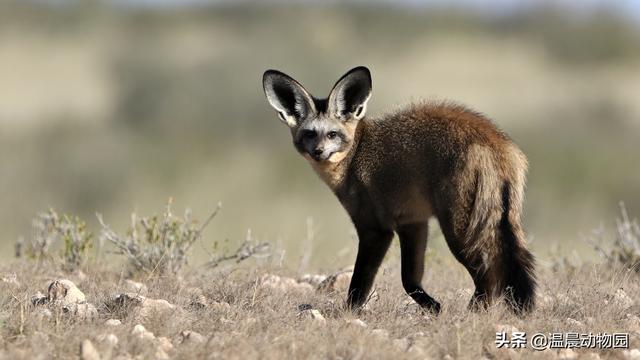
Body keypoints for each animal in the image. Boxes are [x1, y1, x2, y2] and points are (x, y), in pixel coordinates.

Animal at [260, 66, 536, 314]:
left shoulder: (376, 230)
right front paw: (434, 308)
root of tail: (494, 140)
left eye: (332, 134)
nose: (318, 152)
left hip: (459, 231)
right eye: (309, 134)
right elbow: (409, 280)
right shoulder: (412, 223)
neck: (356, 155)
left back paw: (472, 314)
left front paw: (346, 316)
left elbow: (359, 286)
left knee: (489, 274)